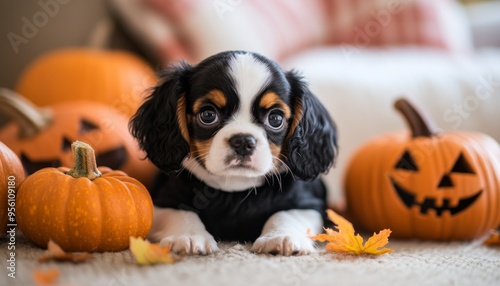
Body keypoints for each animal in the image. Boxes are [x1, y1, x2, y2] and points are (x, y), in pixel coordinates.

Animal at [131, 50, 338, 256]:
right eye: (208, 115)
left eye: (276, 118)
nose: (243, 142)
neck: (235, 188)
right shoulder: (163, 201)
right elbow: (182, 213)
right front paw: (189, 236)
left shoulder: (310, 205)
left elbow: (286, 214)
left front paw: (280, 237)